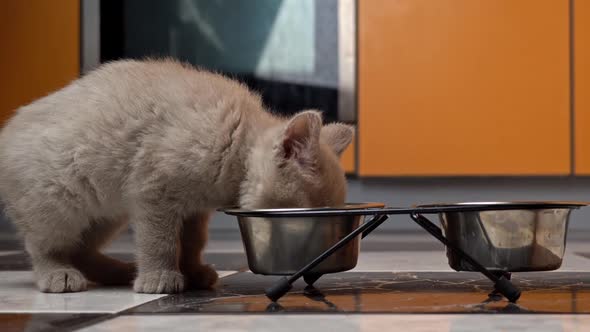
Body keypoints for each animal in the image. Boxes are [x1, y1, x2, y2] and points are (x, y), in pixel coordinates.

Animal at [0, 59, 354, 294]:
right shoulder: (153, 191)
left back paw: (118, 271)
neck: (235, 142)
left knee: (80, 249)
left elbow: (192, 241)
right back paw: (58, 274)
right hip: (60, 202)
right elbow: (160, 240)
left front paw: (193, 271)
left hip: (106, 212)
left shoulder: (193, 207)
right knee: (43, 245)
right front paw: (160, 277)